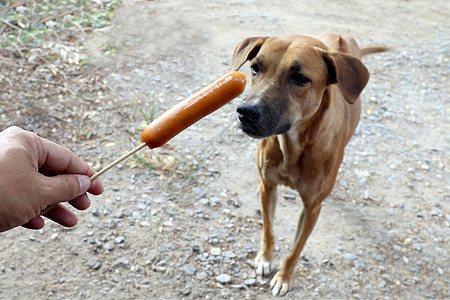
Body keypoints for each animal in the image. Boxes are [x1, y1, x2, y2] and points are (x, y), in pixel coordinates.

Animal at [232, 33, 386, 296]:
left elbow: (296, 249)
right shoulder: (268, 187)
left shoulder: (312, 208)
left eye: (300, 78)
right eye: (255, 68)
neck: (293, 144)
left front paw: (284, 277)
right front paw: (265, 258)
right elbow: (268, 229)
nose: (246, 112)